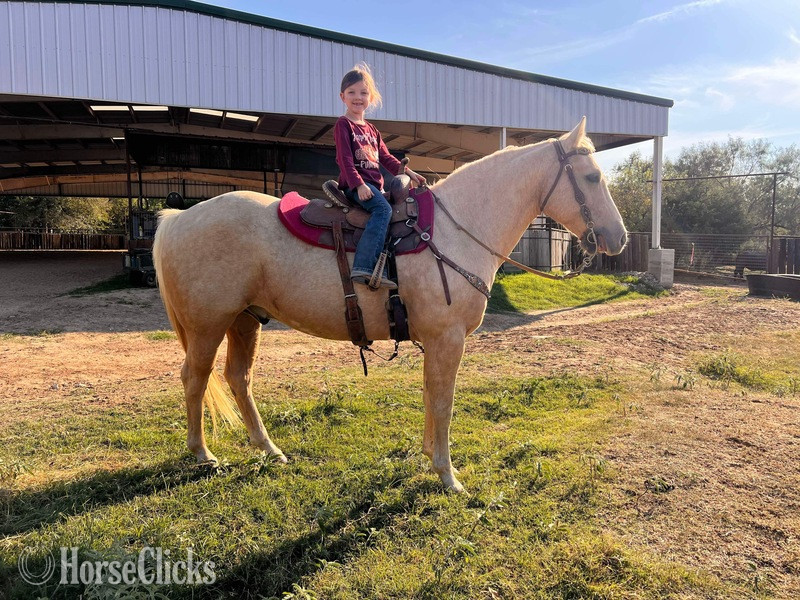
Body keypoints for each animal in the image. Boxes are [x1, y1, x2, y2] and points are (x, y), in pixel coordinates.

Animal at [152, 117, 627, 492]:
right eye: (591, 178)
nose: (618, 237)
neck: (457, 230)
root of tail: (178, 218)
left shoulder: (434, 341)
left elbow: (430, 395)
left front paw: (429, 457)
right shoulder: (448, 339)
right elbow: (444, 402)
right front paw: (448, 476)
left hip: (245, 319)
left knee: (238, 378)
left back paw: (270, 449)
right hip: (209, 325)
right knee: (195, 378)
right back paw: (203, 454)